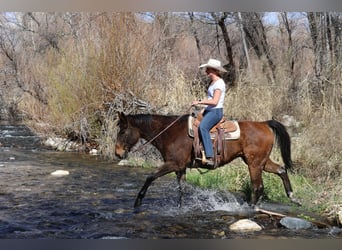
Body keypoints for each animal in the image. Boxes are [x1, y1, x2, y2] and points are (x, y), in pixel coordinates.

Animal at [114, 112, 300, 208]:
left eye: (122, 132)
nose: (117, 153)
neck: (170, 133)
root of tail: (264, 123)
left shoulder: (173, 164)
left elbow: (150, 176)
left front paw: (138, 201)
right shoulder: (180, 168)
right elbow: (181, 189)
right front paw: (181, 208)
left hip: (254, 164)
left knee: (258, 186)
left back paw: (251, 209)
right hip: (261, 162)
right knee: (281, 170)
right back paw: (293, 197)